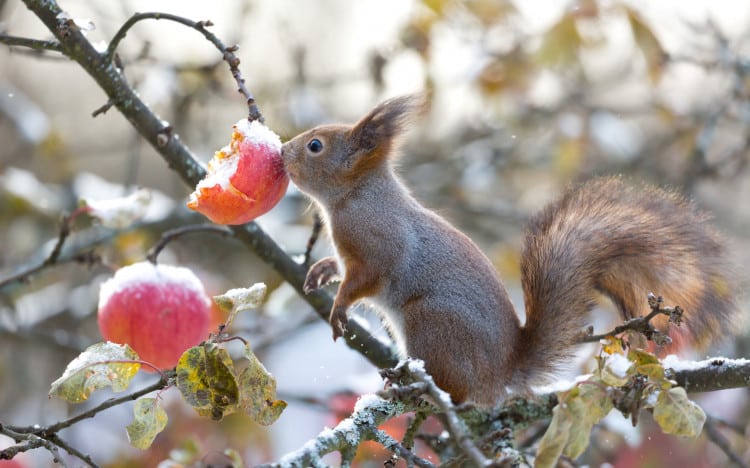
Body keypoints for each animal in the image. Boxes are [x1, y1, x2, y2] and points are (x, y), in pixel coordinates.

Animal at [282, 94, 740, 406]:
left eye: (316, 145)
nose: (283, 151)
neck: (356, 196)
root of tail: (502, 372)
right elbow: (342, 268)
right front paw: (322, 270)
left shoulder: (377, 244)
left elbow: (365, 279)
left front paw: (339, 307)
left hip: (431, 324)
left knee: (458, 392)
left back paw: (415, 389)